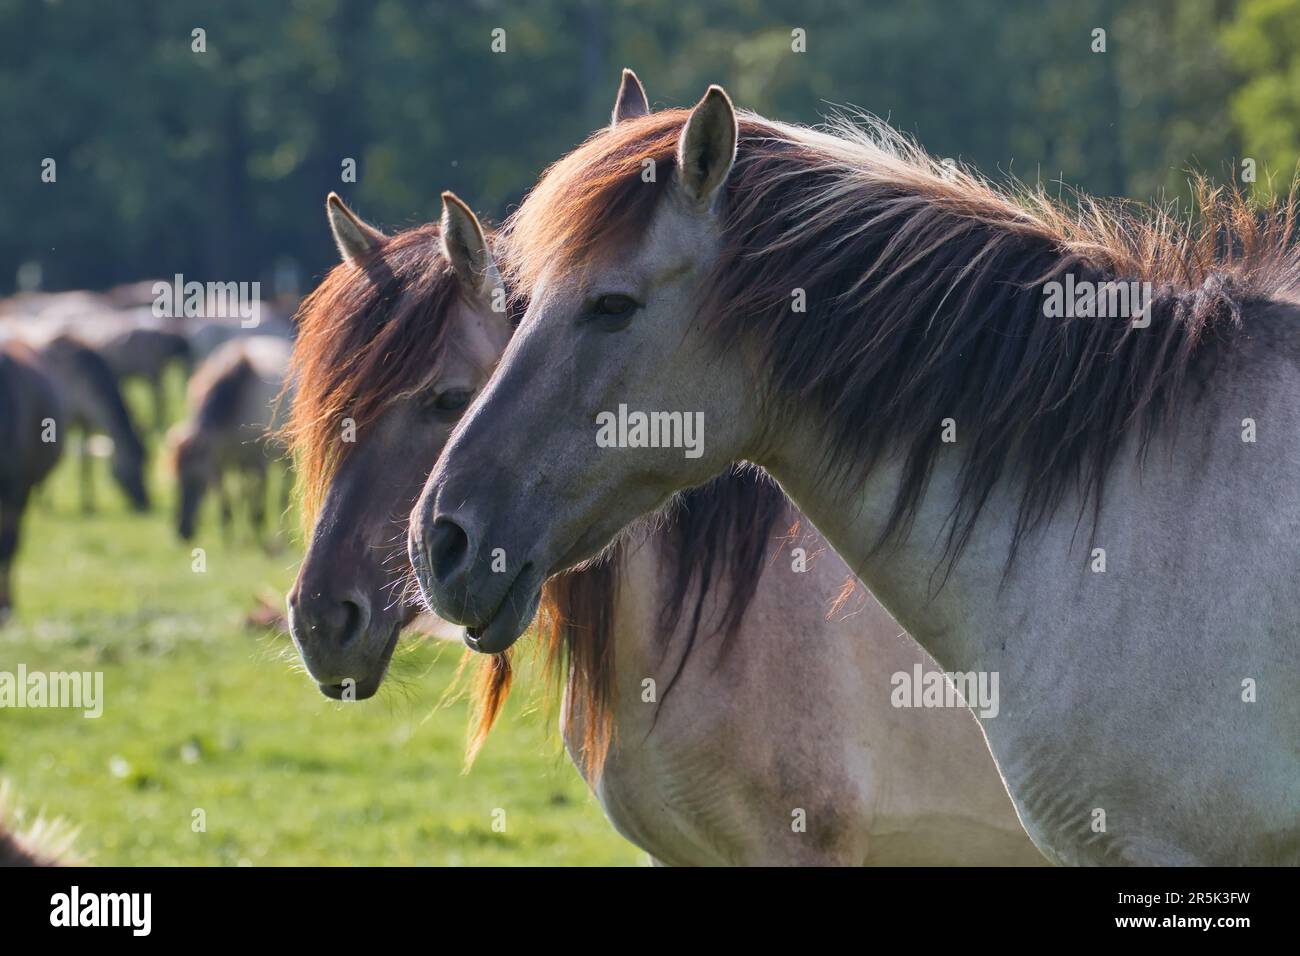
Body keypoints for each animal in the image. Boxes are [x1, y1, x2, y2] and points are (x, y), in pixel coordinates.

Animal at [168, 335, 292, 543]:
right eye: (177, 481)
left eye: (198, 480)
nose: (183, 532)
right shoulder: (217, 463)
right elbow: (224, 500)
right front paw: (228, 536)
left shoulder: (258, 461)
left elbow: (258, 498)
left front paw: (257, 528)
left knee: (280, 491)